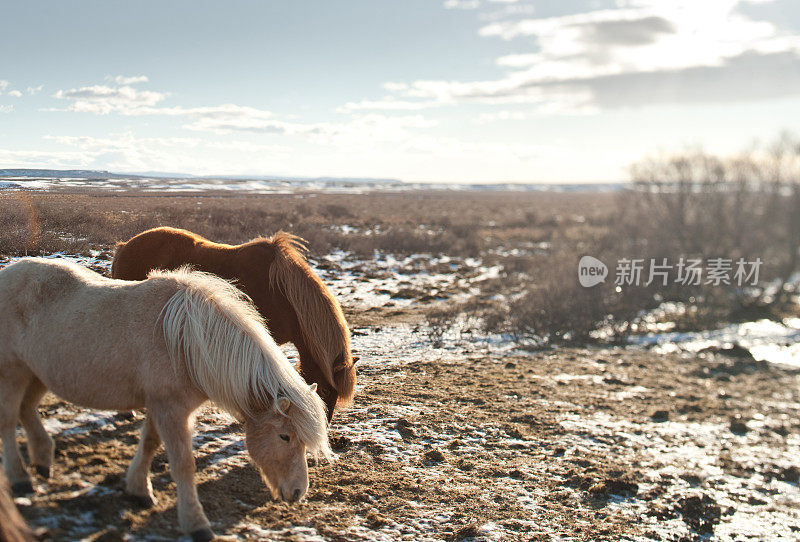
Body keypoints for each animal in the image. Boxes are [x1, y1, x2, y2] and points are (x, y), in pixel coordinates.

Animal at [0, 260, 332, 542]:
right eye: (285, 436)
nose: (298, 492)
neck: (186, 342)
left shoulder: (160, 407)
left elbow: (149, 443)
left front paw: (138, 490)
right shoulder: (171, 411)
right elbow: (183, 464)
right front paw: (196, 524)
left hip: (37, 373)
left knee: (27, 410)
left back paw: (43, 460)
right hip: (13, 372)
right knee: (9, 419)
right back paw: (20, 479)